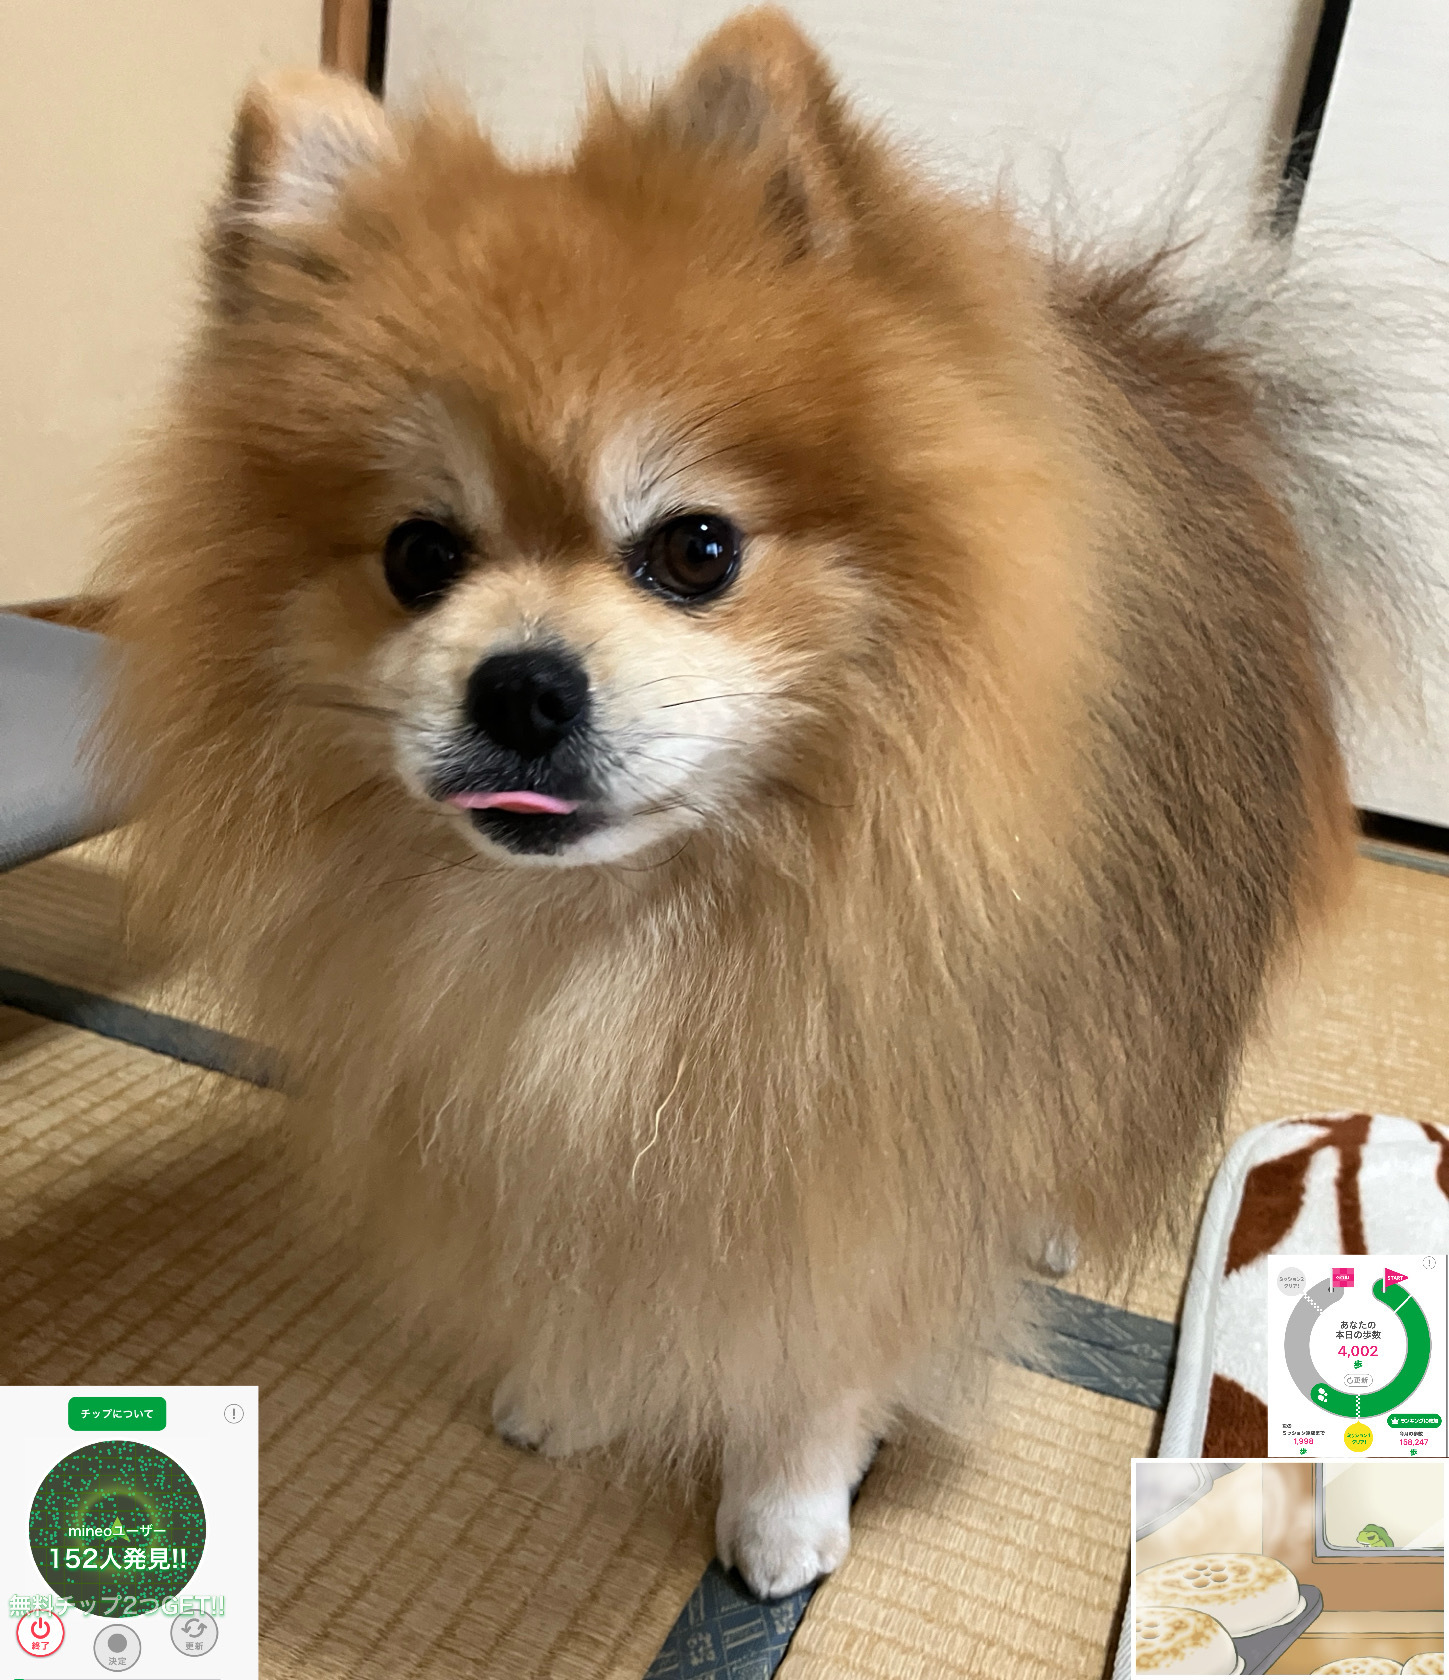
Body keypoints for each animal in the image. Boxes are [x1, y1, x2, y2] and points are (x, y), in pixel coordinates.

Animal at [98, 7, 1430, 1598]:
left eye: (696, 549)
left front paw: (788, 1505)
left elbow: (825, 1347)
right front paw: (573, 1386)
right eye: (418, 556)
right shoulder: (560, 1120)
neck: (635, 938)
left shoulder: (864, 1139)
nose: (521, 686)